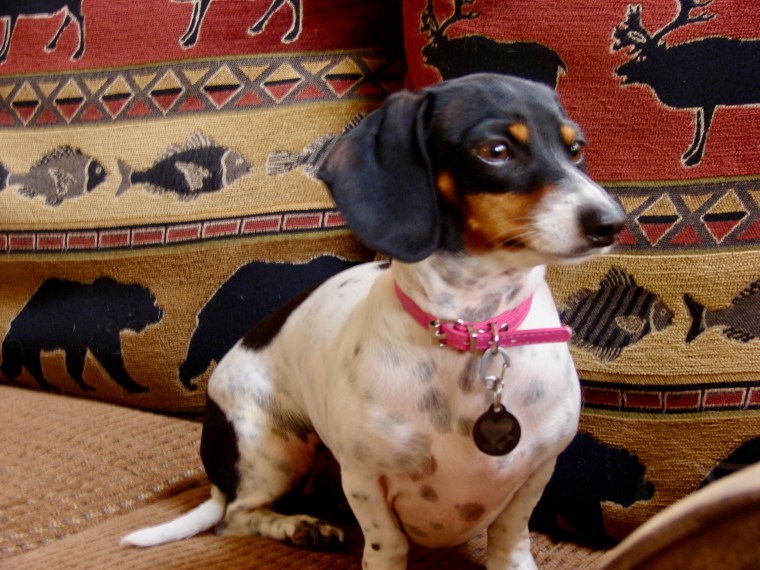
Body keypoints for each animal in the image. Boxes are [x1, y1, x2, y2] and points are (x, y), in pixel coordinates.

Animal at [122, 73, 625, 569]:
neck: (474, 329)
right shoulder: (365, 479)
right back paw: (298, 526)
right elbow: (388, 544)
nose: (612, 223)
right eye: (496, 150)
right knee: (238, 516)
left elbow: (510, 535)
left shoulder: (536, 471)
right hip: (270, 449)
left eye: (575, 148)